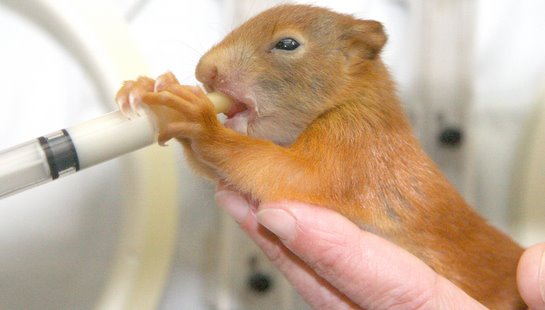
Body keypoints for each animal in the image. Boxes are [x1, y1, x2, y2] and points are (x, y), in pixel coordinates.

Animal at [117, 3, 524, 308]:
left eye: (287, 44)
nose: (206, 72)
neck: (354, 98)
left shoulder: (354, 147)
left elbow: (291, 174)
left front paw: (200, 121)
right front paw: (149, 86)